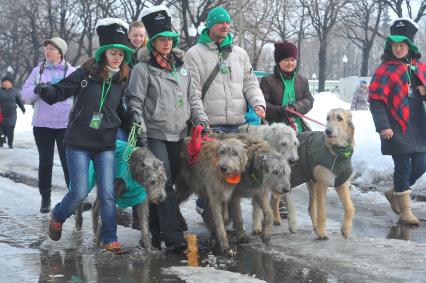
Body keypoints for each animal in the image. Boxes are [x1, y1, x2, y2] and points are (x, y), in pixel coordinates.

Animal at [278, 108, 354, 240]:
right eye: (327, 118)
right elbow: (322, 211)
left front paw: (345, 230)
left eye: (339, 118)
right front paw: (322, 233)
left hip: (310, 181)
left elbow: (350, 208)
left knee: (309, 208)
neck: (338, 152)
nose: (327, 131)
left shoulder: (341, 183)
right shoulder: (322, 183)